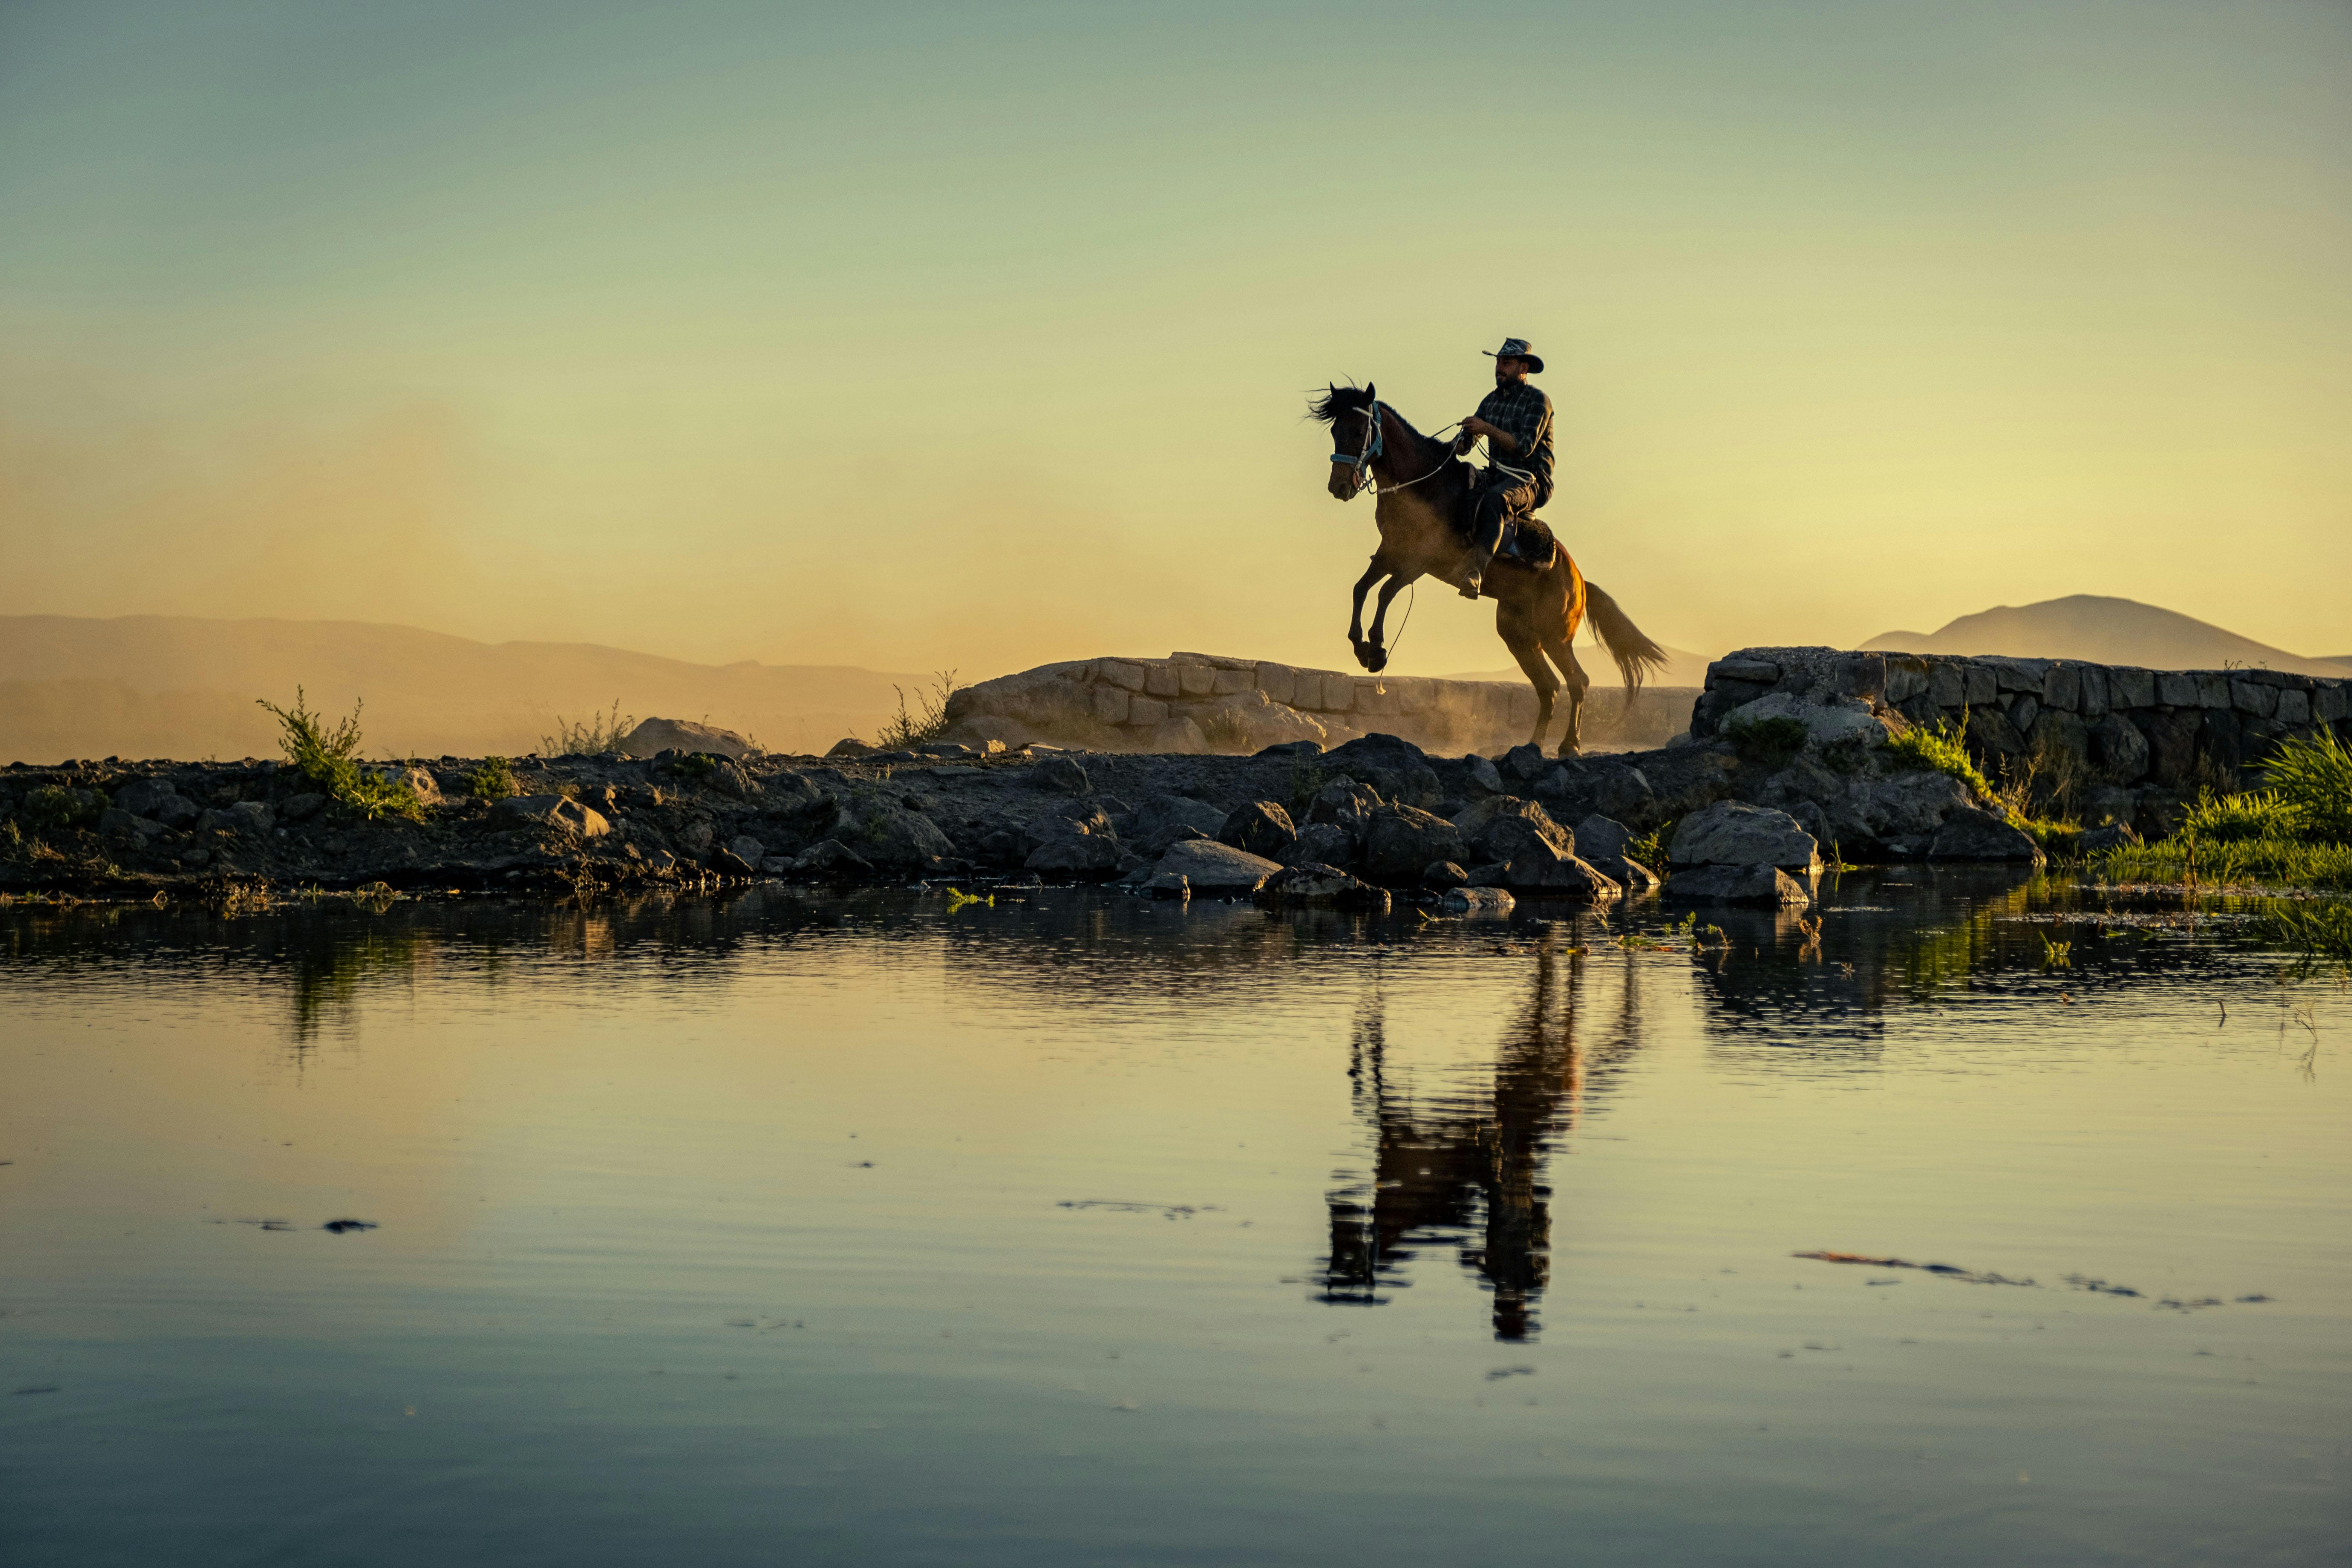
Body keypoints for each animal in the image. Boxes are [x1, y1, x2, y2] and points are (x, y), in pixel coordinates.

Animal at [1308, 390, 1674, 761]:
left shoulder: (1420, 560)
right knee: (1549, 687)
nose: (1339, 486)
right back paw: (1532, 746)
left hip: (1555, 635)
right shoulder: (1391, 552)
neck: (1426, 485)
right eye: (1335, 430)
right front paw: (1361, 647)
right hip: (1518, 635)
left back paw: (1570, 745)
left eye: (1358, 431)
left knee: (1578, 681)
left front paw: (1378, 650)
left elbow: (1384, 593)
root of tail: (1580, 582)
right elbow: (1361, 589)